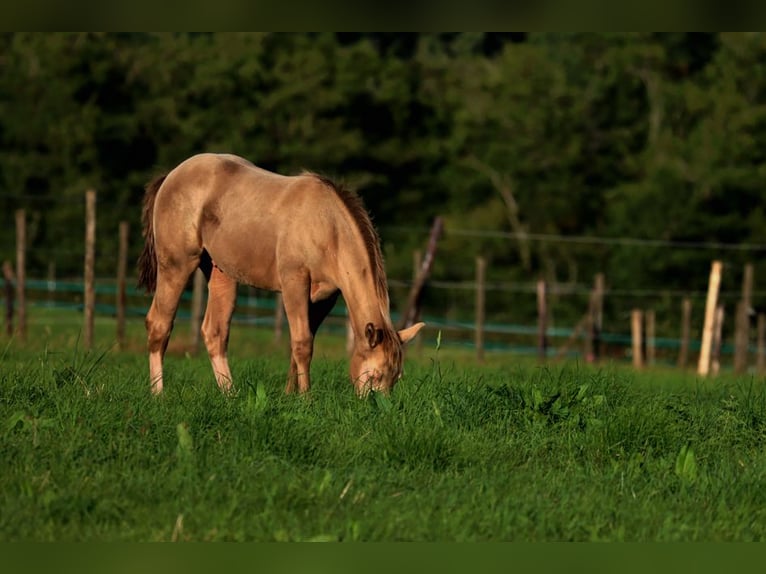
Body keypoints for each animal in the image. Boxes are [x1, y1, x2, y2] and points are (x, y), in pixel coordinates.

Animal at [137, 153, 424, 397]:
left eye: (396, 378)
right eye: (374, 376)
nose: (377, 408)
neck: (326, 226)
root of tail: (171, 176)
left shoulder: (324, 298)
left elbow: (299, 344)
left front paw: (289, 395)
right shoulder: (294, 283)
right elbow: (303, 343)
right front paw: (306, 399)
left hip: (221, 273)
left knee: (215, 332)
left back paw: (230, 395)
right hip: (176, 266)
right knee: (159, 324)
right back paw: (158, 394)